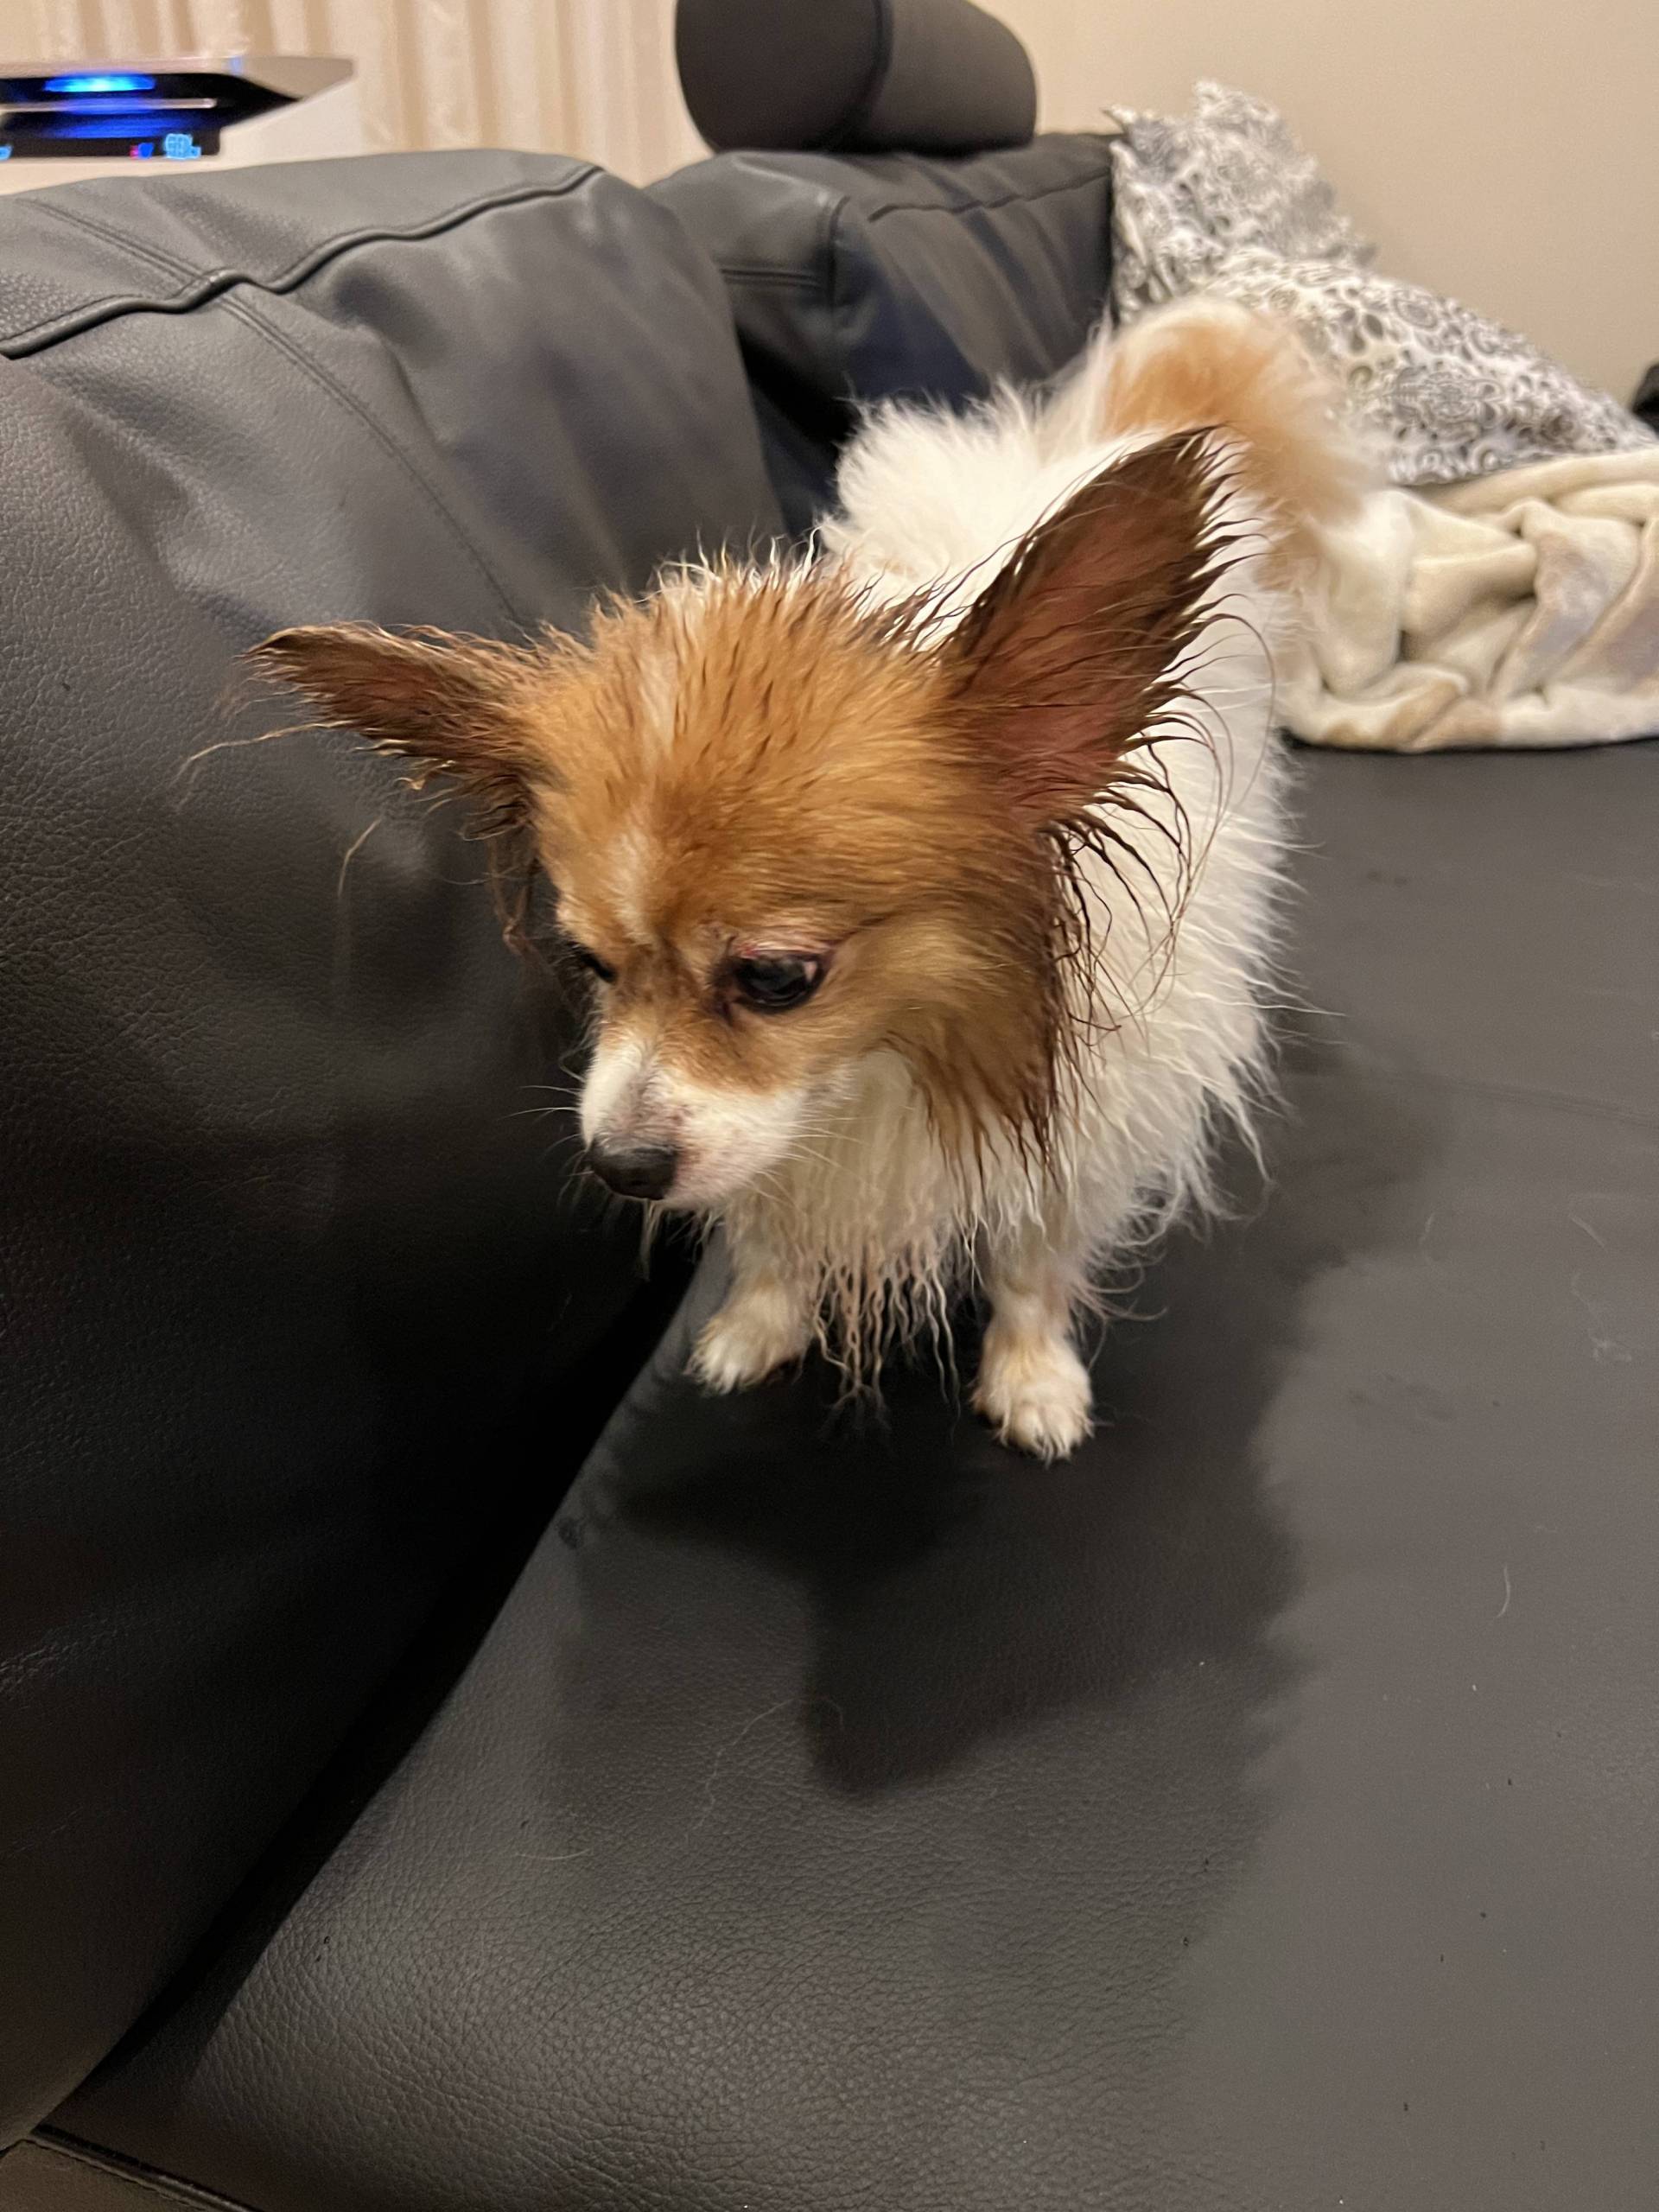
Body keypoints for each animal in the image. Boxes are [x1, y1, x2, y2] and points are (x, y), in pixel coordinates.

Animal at [255, 298, 1364, 1459]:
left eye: (778, 978)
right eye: (591, 964)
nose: (619, 1166)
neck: (887, 1073)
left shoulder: (1083, 1137)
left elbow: (1033, 1266)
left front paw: (1032, 1375)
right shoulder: (778, 1150)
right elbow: (774, 1233)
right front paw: (760, 1319)